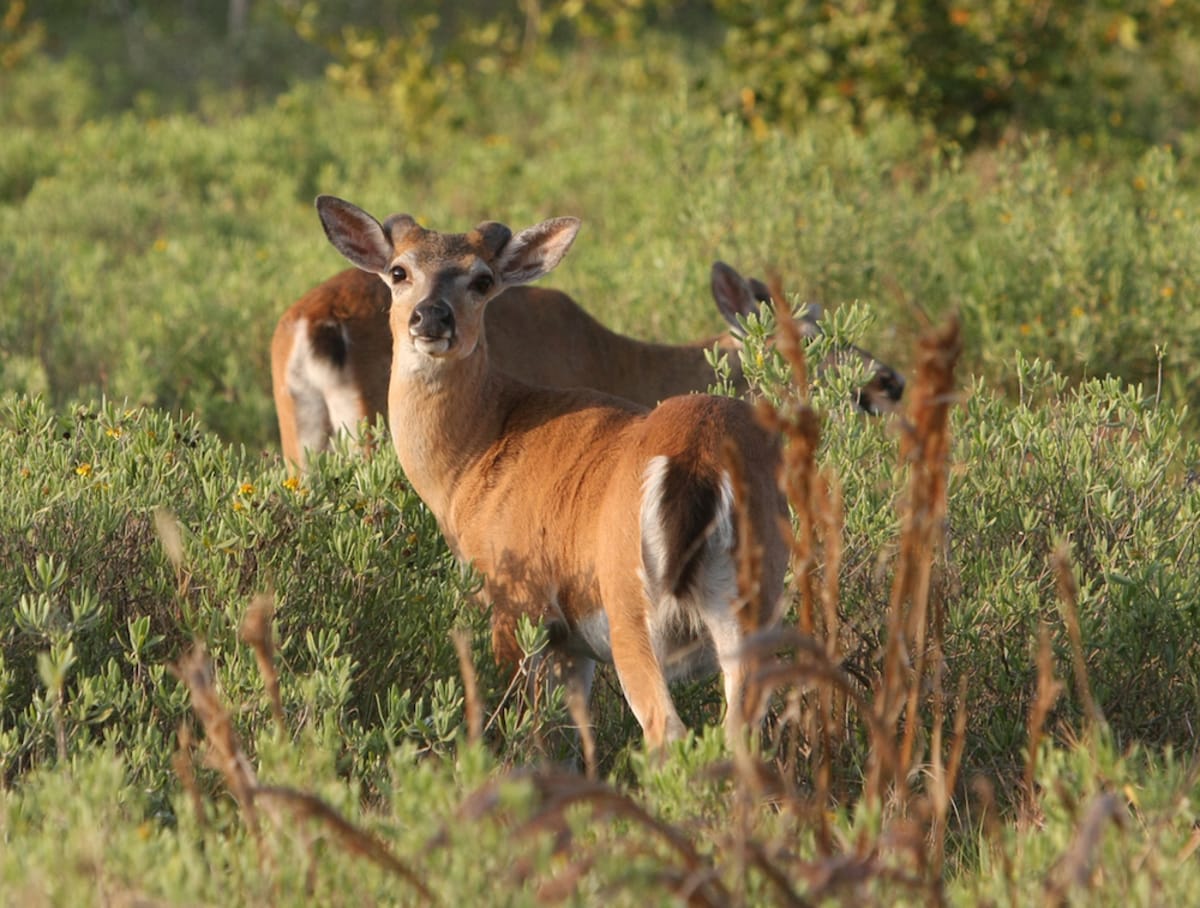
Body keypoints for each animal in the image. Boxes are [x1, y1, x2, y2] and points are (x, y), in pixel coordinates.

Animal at [314, 196, 792, 743]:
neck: (474, 454)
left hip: (629, 604)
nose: (432, 316)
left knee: (665, 728)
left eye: (482, 280)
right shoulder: (572, 643)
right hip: (752, 604)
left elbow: (528, 729)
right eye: (399, 271)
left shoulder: (514, 601)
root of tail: (700, 460)